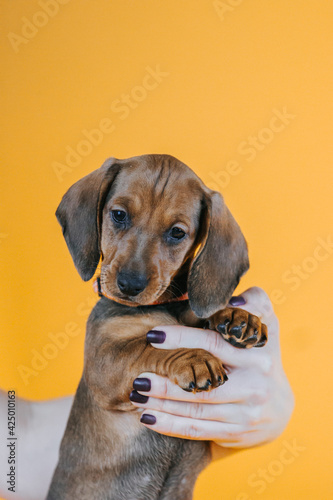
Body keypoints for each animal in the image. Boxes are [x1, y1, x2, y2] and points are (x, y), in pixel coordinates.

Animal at [46, 154, 266, 500]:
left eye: (177, 233)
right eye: (119, 215)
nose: (129, 285)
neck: (163, 306)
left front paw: (237, 317)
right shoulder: (104, 363)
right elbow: (145, 346)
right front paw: (194, 358)